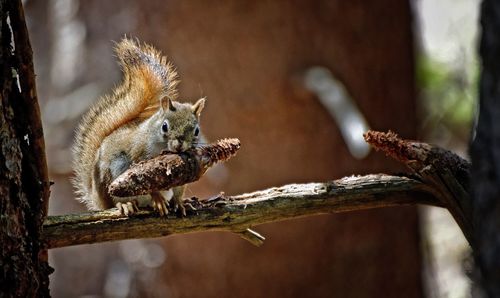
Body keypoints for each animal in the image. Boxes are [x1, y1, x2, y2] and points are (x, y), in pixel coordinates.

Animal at [72, 37, 205, 217]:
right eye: (164, 127)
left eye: (196, 131)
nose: (179, 145)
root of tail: (99, 200)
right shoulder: (139, 155)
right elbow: (147, 183)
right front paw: (157, 199)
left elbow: (179, 190)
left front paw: (179, 202)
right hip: (115, 174)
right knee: (117, 200)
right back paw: (126, 205)